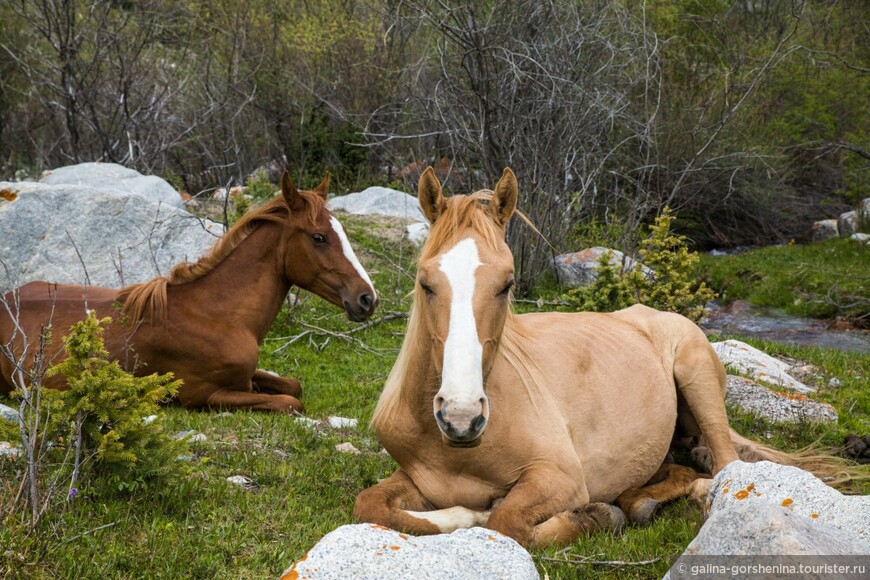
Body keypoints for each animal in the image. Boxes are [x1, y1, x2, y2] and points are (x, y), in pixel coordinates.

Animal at [2, 172, 378, 412]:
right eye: (319, 237)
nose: (368, 298)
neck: (217, 315)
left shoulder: (245, 378)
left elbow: (291, 384)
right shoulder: (204, 394)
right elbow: (291, 402)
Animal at [350, 169, 768, 548]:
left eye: (507, 284)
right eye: (425, 283)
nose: (461, 416)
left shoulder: (560, 478)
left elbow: (507, 521)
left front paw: (590, 517)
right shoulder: (415, 479)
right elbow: (369, 504)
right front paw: (466, 514)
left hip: (697, 378)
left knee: (720, 470)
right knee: (677, 472)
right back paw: (637, 502)